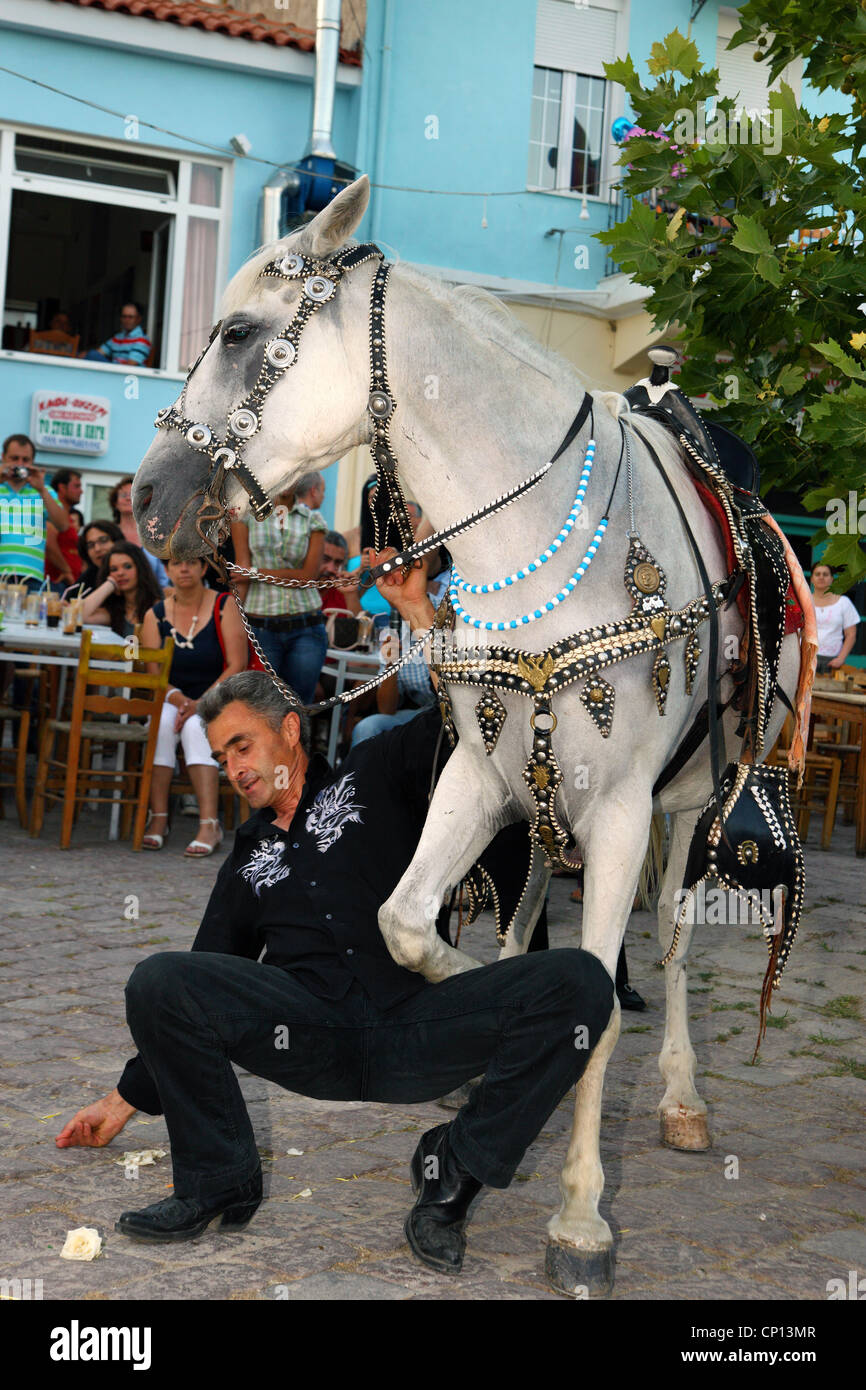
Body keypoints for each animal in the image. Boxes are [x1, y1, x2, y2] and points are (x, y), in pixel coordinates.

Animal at [132, 175, 801, 1297]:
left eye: (238, 331)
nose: (146, 495)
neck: (546, 549)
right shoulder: (480, 779)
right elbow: (410, 925)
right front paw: (474, 1038)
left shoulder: (620, 813)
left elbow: (600, 1000)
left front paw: (580, 1218)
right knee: (527, 912)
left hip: (692, 803)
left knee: (668, 937)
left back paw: (680, 1096)